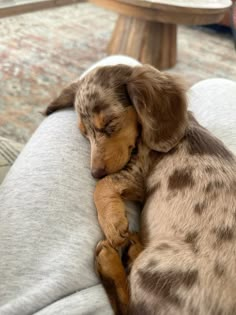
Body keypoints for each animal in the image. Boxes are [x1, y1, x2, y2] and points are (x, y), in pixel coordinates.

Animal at [44, 64, 236, 315]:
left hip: (157, 265)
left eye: (110, 124)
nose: (94, 172)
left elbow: (103, 186)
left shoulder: (138, 174)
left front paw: (113, 224)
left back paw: (109, 262)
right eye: (84, 133)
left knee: (130, 309)